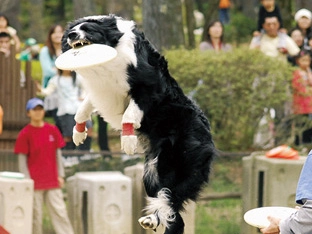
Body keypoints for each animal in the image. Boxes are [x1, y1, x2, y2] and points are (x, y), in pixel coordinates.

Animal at [61, 15, 216, 234]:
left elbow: (129, 114)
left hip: (177, 162)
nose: (72, 35)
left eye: (88, 29)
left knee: (171, 198)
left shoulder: (147, 86)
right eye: (71, 31)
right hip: (151, 173)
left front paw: (127, 140)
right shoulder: (101, 91)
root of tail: (208, 135)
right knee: (171, 209)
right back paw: (152, 221)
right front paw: (78, 132)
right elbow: (83, 108)